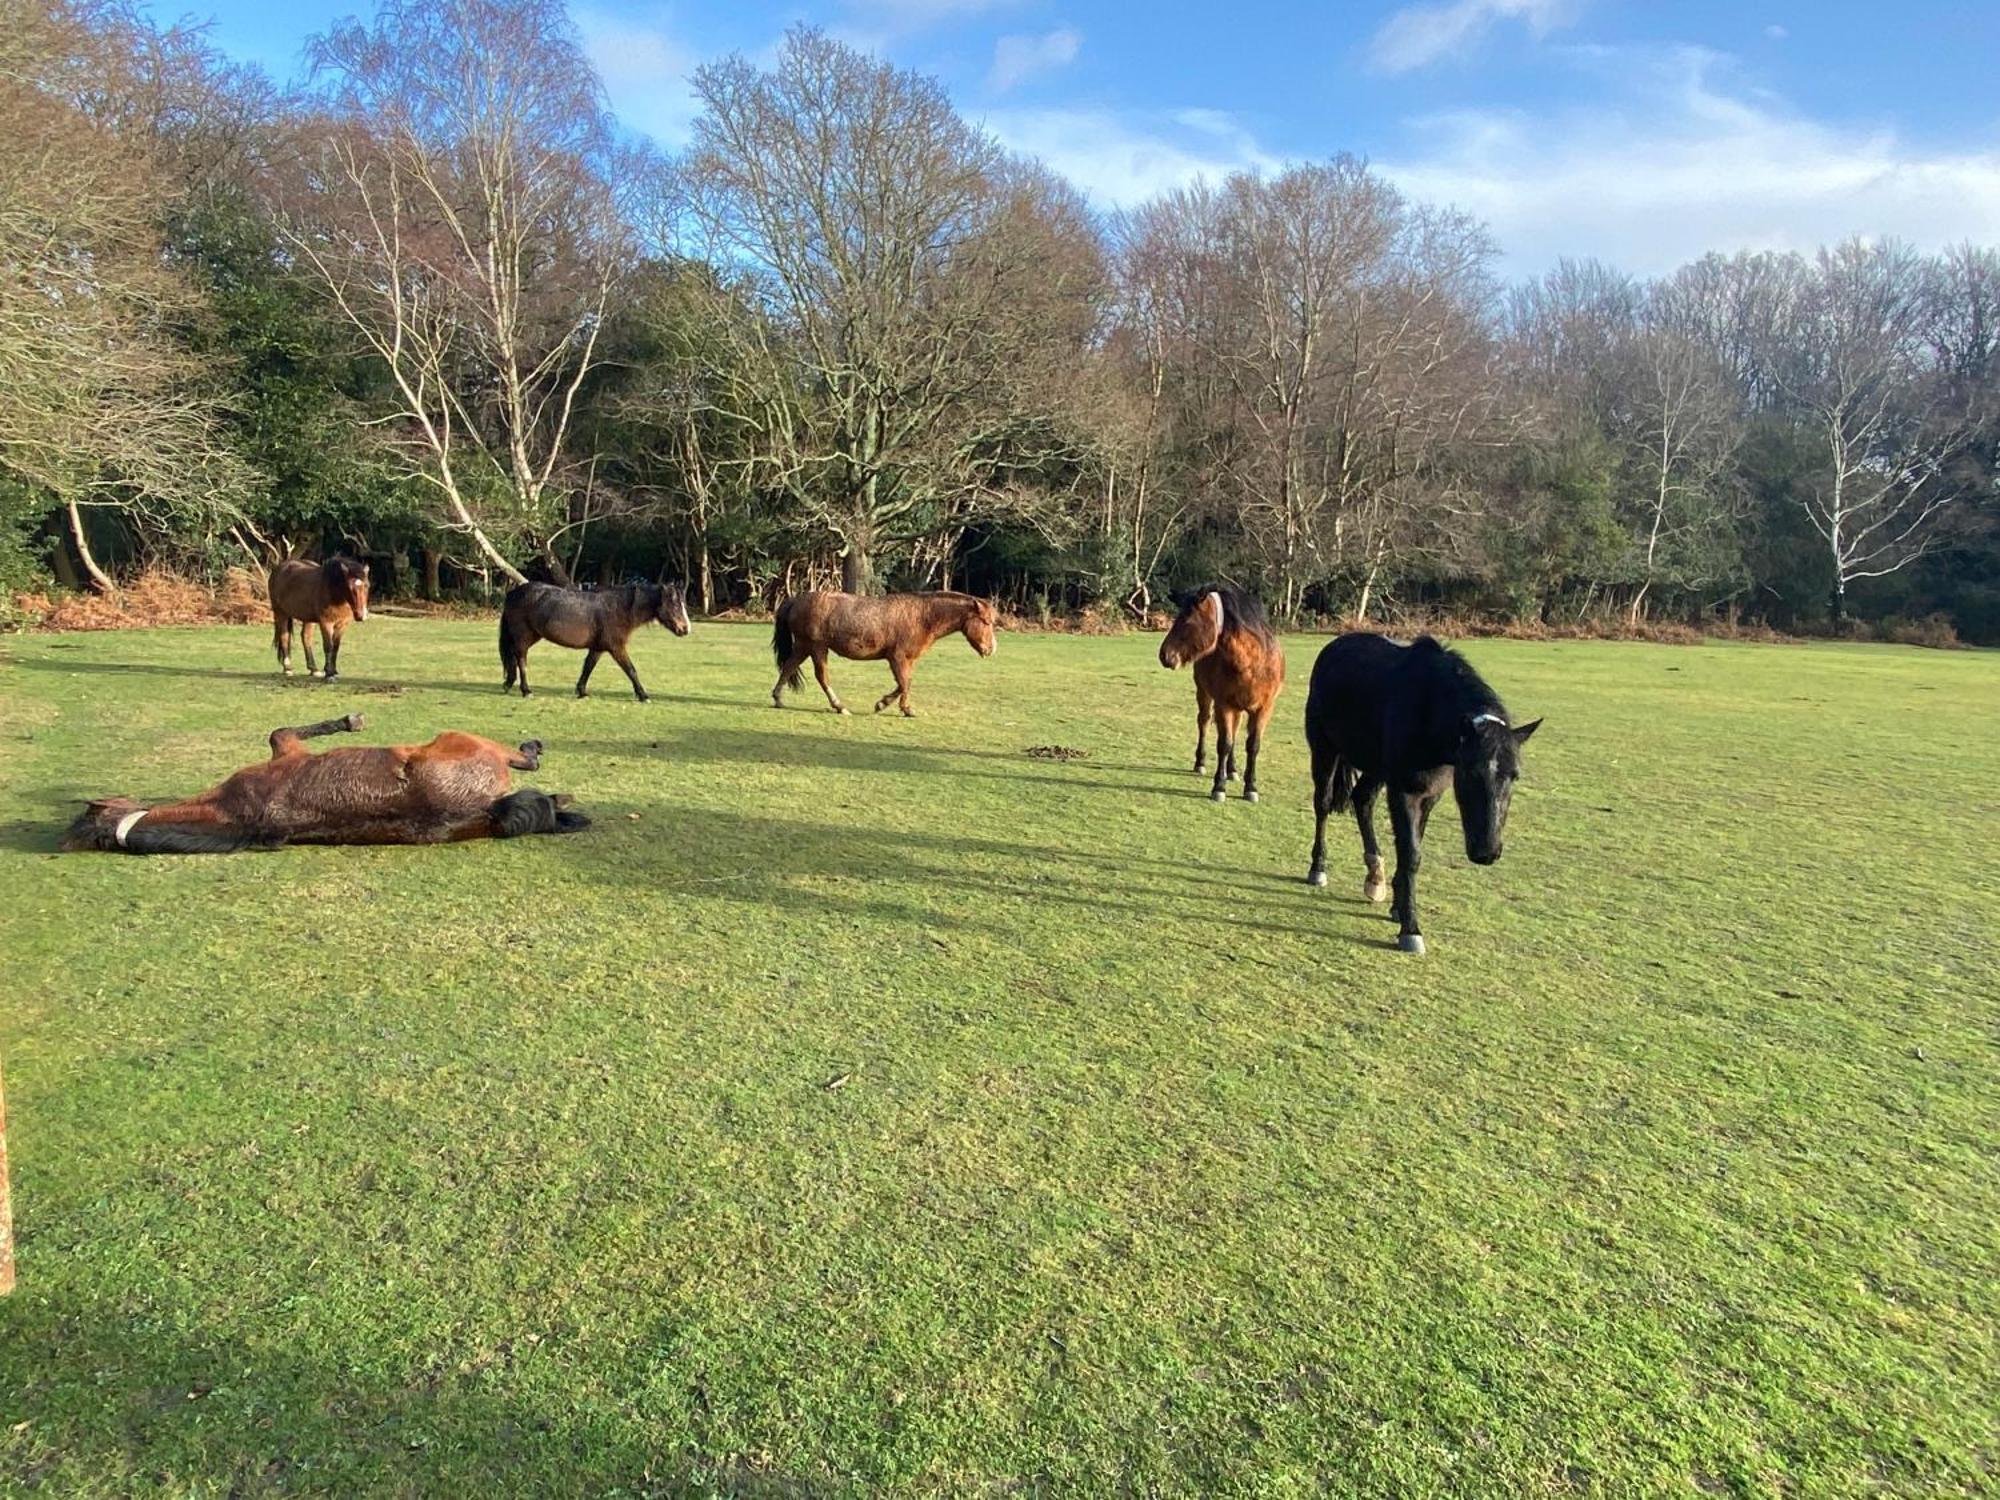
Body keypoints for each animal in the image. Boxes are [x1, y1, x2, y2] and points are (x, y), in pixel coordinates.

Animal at [56, 712, 584, 852]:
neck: (234, 815)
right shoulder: (284, 748)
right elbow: (280, 730)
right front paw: (351, 720)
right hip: (463, 738)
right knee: (528, 767)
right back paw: (537, 756)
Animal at [496, 584, 692, 708]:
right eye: (675, 605)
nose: (685, 629)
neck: (619, 609)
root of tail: (513, 593)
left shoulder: (598, 648)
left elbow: (588, 667)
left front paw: (582, 692)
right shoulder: (616, 648)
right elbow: (631, 670)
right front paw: (643, 695)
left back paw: (509, 683)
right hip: (524, 636)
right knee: (521, 659)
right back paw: (526, 690)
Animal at [776, 592, 1008, 716]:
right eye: (986, 622)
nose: (991, 649)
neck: (923, 616)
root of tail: (797, 599)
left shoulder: (907, 660)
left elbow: (904, 683)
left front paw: (883, 703)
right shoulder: (897, 658)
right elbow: (905, 684)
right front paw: (906, 709)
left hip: (804, 646)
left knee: (788, 667)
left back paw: (778, 698)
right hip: (817, 647)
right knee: (822, 676)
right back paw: (839, 706)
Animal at [1160, 580, 1280, 804]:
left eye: (1188, 621)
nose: (1165, 655)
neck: (1252, 664)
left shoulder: (1263, 708)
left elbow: (1253, 745)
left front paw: (1251, 787)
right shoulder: (1224, 705)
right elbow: (1224, 743)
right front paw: (1219, 787)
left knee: (1234, 730)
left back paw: (1232, 770)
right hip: (1205, 694)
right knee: (1204, 722)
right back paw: (1201, 763)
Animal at [1304, 632, 1536, 952]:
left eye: (1514, 775)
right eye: (1470, 771)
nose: (1487, 851)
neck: (1429, 710)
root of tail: (1336, 645)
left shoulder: (1429, 795)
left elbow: (1411, 847)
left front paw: (1399, 907)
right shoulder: (1404, 791)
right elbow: (1411, 853)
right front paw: (1410, 929)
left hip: (1376, 767)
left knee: (1362, 800)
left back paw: (1375, 876)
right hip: (1325, 749)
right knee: (1323, 804)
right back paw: (1318, 868)